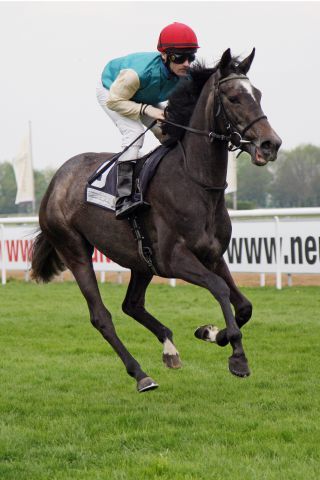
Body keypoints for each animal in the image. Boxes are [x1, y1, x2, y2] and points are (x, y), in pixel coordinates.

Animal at [31, 47, 282, 394]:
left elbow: (243, 305)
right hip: (73, 248)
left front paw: (210, 332)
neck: (195, 182)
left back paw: (169, 348)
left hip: (140, 260)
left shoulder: (213, 255)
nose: (271, 144)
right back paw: (140, 374)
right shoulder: (173, 259)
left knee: (131, 305)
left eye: (257, 94)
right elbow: (219, 288)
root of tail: (55, 182)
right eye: (233, 98)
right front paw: (237, 356)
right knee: (101, 316)